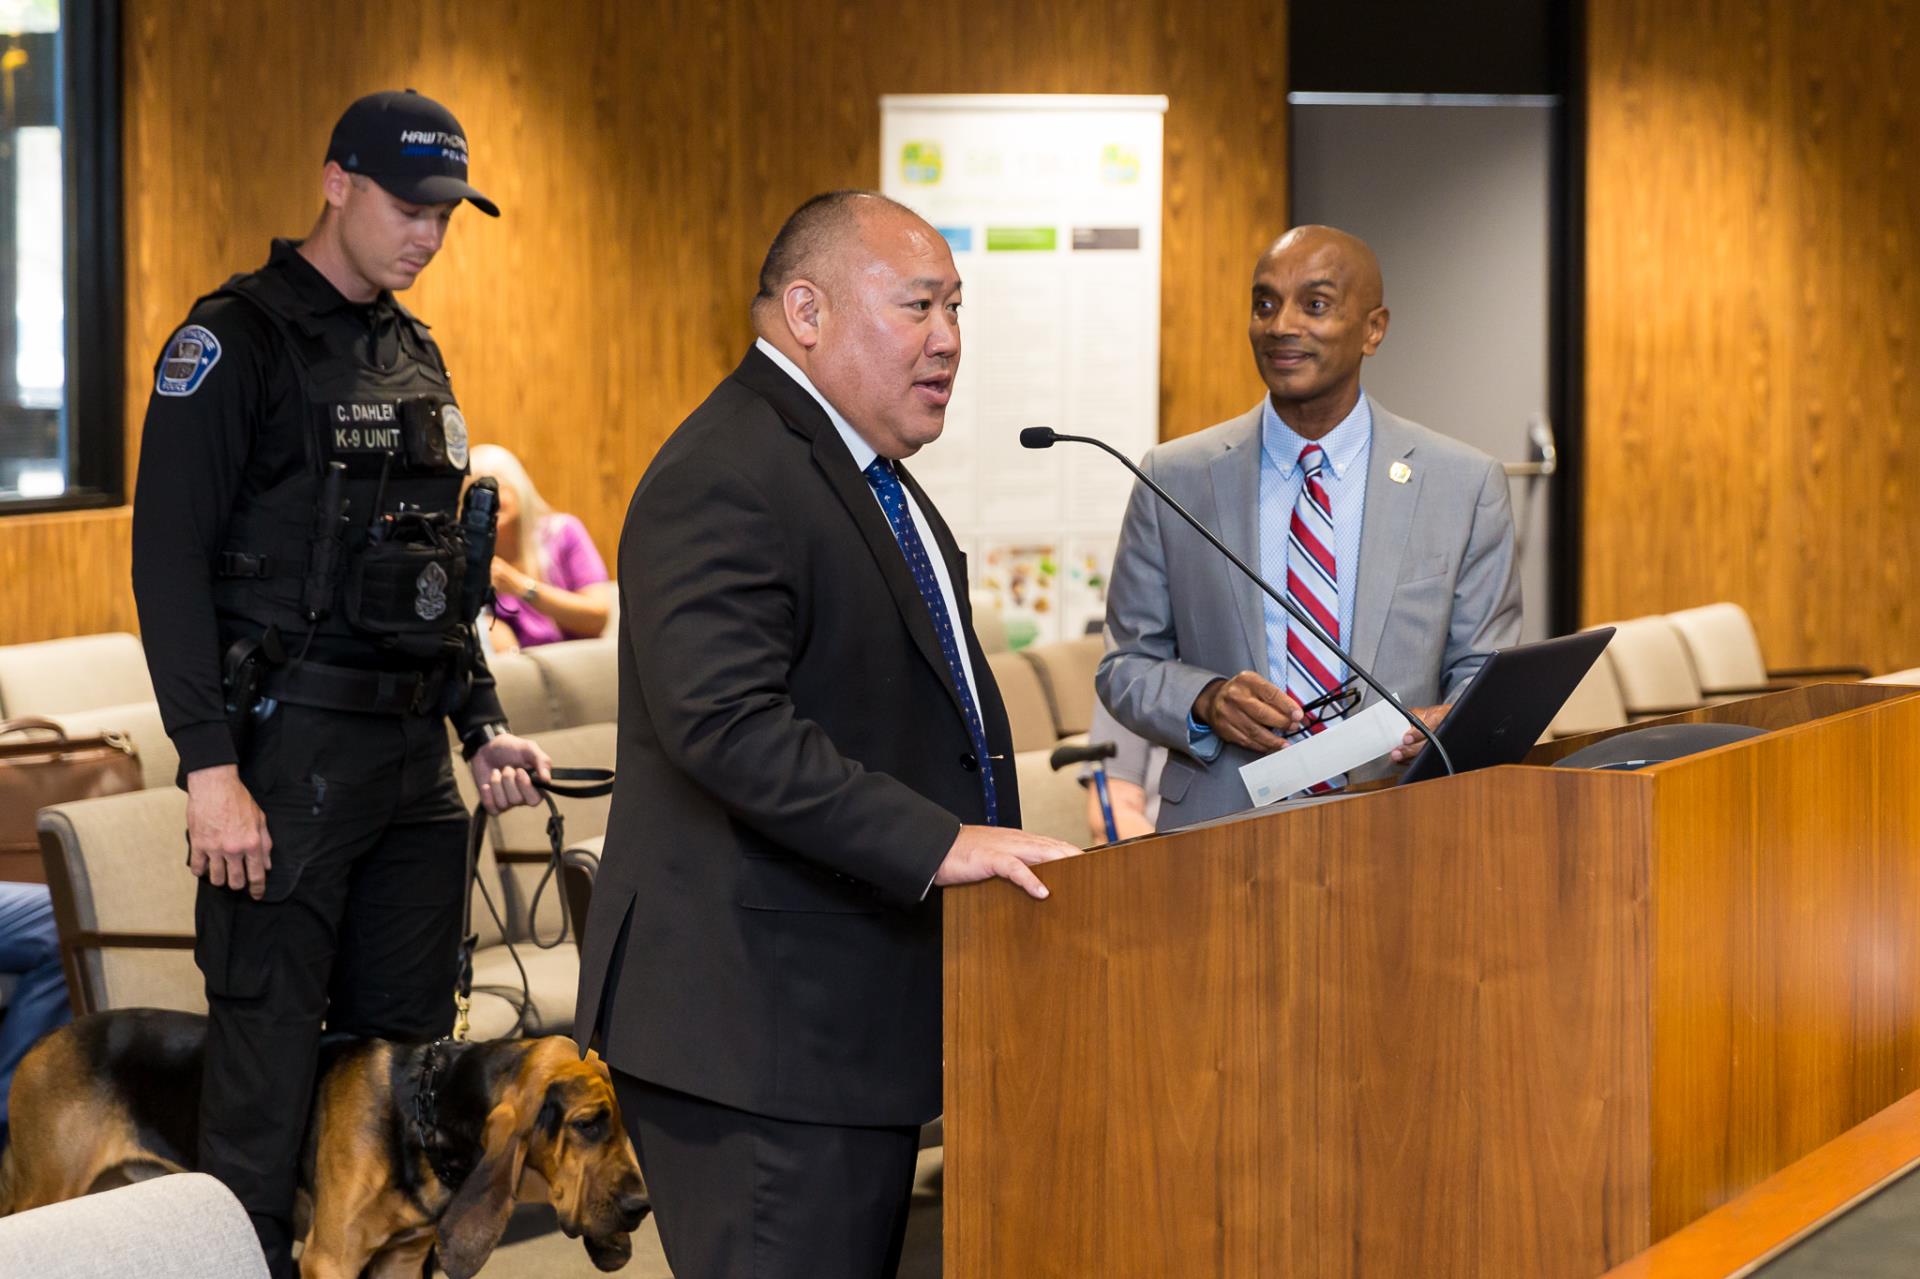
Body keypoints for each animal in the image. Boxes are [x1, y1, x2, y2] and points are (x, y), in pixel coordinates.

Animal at [0, 1006, 648, 1275]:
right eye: (589, 1123)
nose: (643, 1207)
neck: (422, 1111)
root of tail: (41, 1041)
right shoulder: (330, 1260)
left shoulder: (400, 1261)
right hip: (48, 1192)